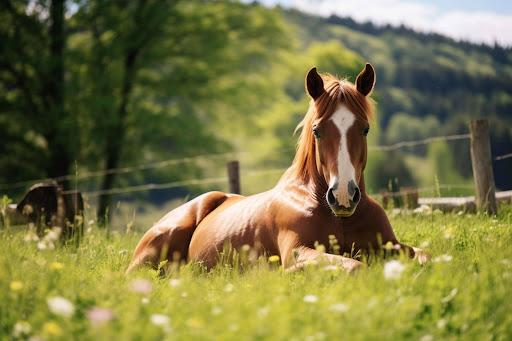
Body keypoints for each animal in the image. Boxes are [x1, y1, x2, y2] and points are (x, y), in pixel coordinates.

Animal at [126, 63, 430, 274]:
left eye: (364, 129)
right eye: (317, 130)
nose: (343, 196)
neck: (336, 216)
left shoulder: (391, 246)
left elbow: (429, 257)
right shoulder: (297, 252)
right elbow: (357, 267)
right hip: (152, 255)